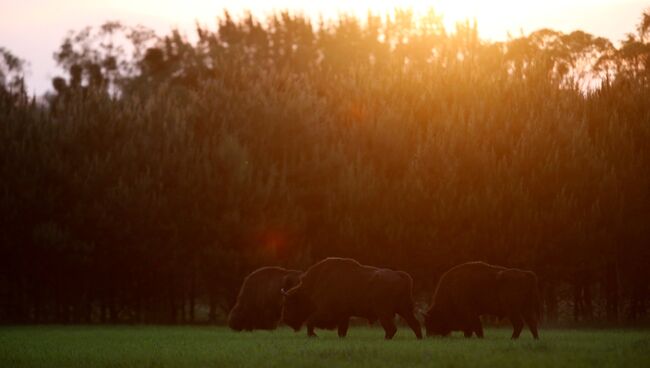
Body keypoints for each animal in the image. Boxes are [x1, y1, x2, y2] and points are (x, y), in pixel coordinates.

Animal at [278, 256, 420, 340]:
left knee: (392, 328)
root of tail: (401, 275)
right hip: (405, 310)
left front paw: (313, 335)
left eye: (287, 303)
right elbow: (341, 331)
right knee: (415, 324)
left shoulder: (326, 312)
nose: (285, 319)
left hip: (384, 313)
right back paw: (419, 339)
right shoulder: (344, 316)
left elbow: (310, 321)